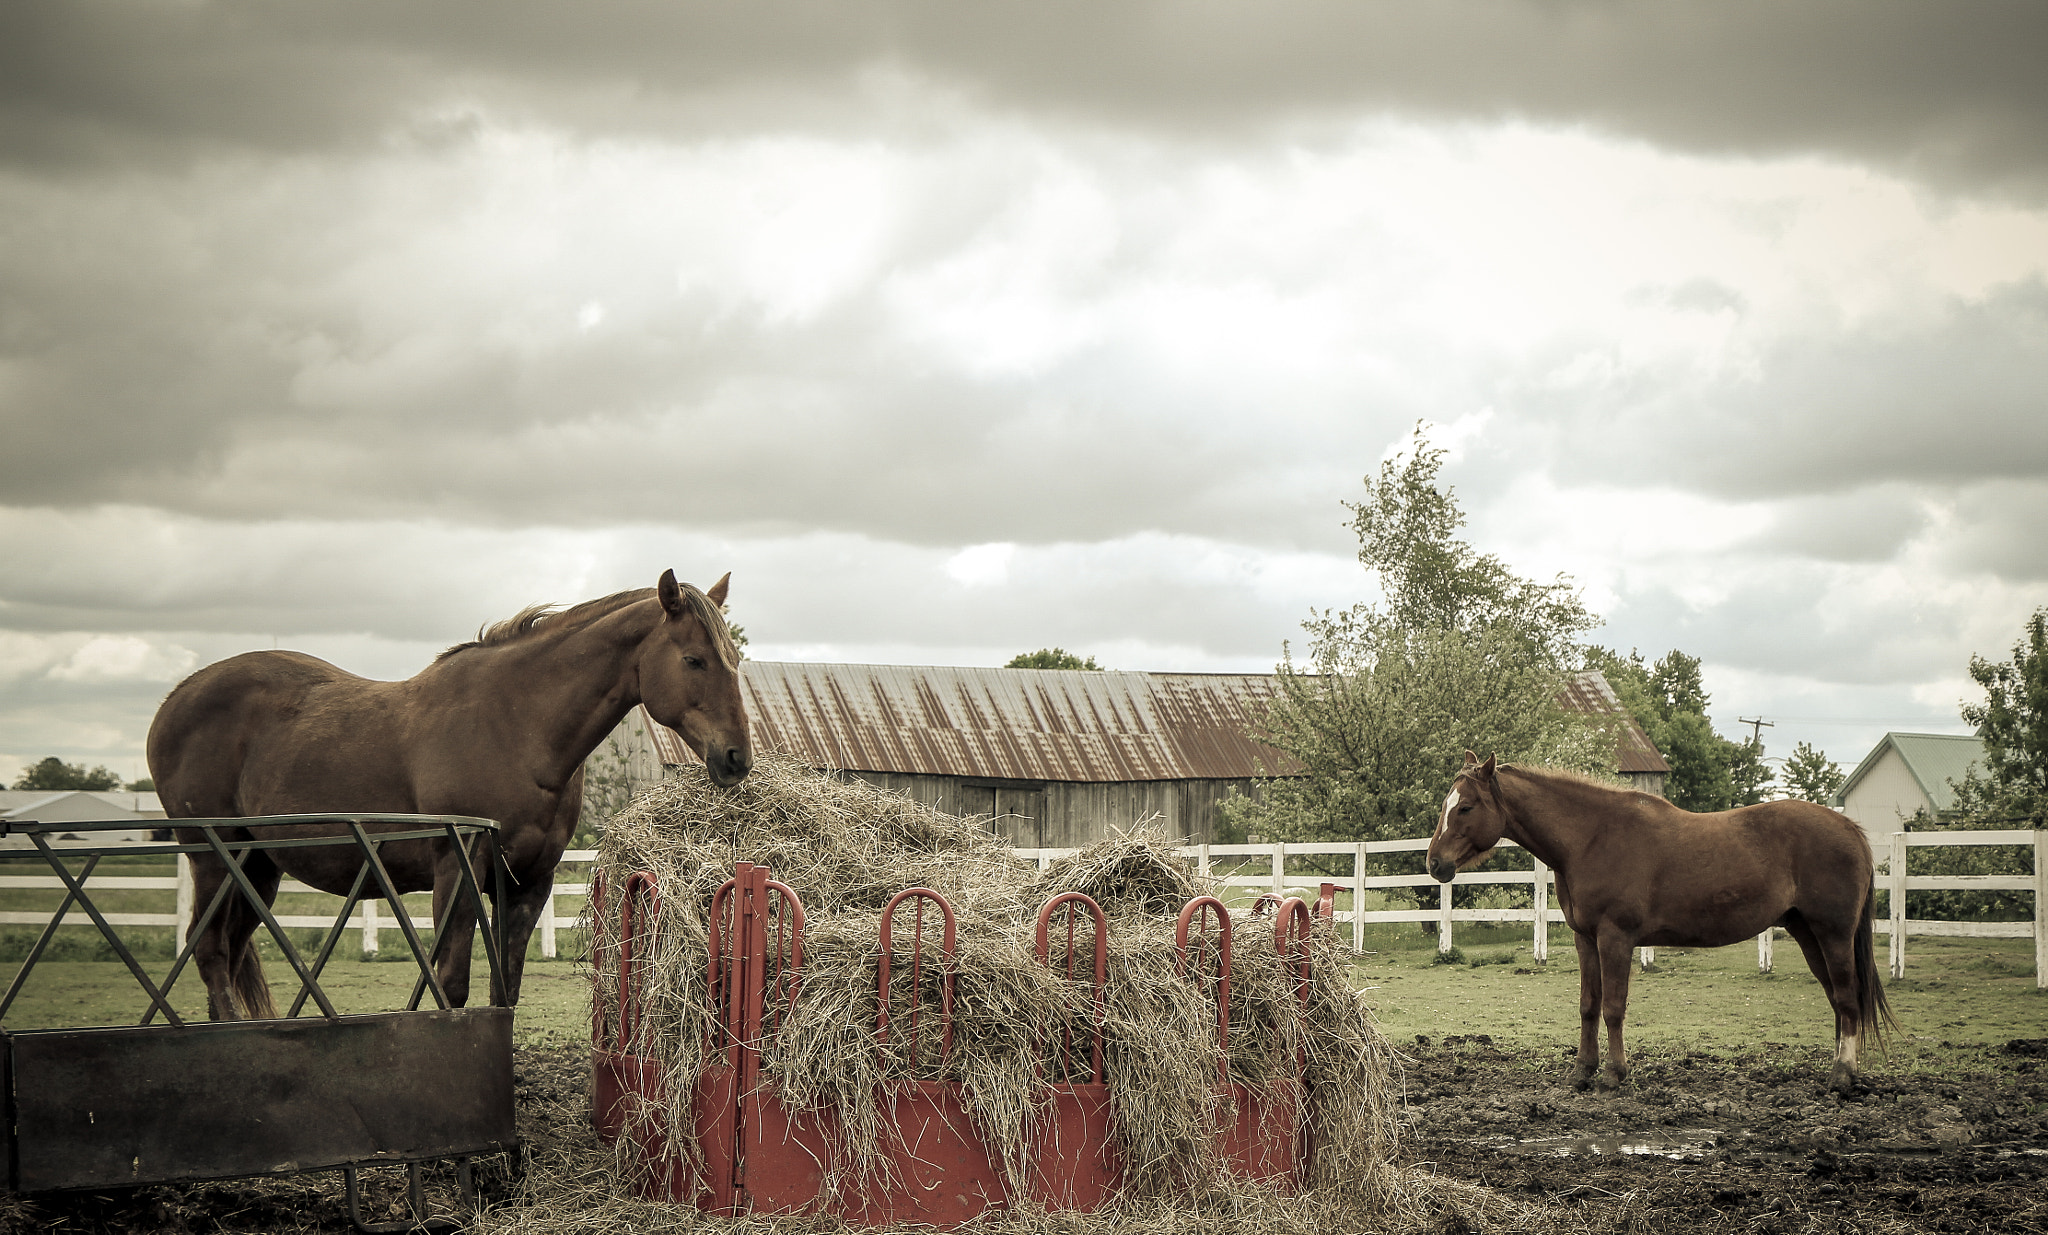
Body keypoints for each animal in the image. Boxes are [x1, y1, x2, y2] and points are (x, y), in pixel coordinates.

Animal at [146, 569, 751, 1021]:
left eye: (734, 660)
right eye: (694, 660)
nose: (736, 757)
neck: (516, 727)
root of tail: (177, 699)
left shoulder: (530, 883)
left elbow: (505, 990)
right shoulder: (457, 869)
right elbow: (452, 984)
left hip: (257, 869)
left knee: (227, 951)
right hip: (212, 858)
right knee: (210, 949)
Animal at [1428, 753, 1894, 1094]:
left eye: (1465, 807)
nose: (1434, 863)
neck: (1591, 837)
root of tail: (1849, 828)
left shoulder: (1615, 939)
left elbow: (1613, 1007)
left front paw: (1613, 1075)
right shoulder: (1585, 940)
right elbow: (1588, 1005)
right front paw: (1582, 1072)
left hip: (1832, 935)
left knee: (1847, 1000)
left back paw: (1841, 1077)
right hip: (1807, 934)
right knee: (1838, 1001)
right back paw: (1842, 1071)